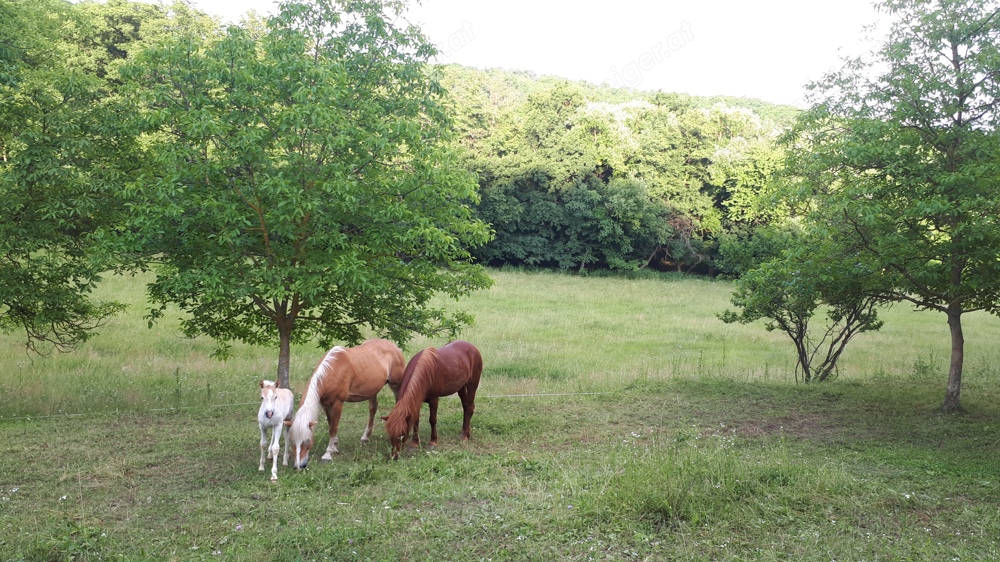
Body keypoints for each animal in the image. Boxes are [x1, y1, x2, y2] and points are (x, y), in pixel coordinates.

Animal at [284, 336, 404, 468]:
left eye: (307, 440)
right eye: (292, 441)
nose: (298, 466)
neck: (333, 371)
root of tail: (394, 346)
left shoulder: (338, 403)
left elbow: (333, 427)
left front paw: (328, 454)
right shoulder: (326, 405)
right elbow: (331, 423)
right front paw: (335, 445)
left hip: (396, 385)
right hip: (372, 390)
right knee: (373, 409)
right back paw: (365, 437)